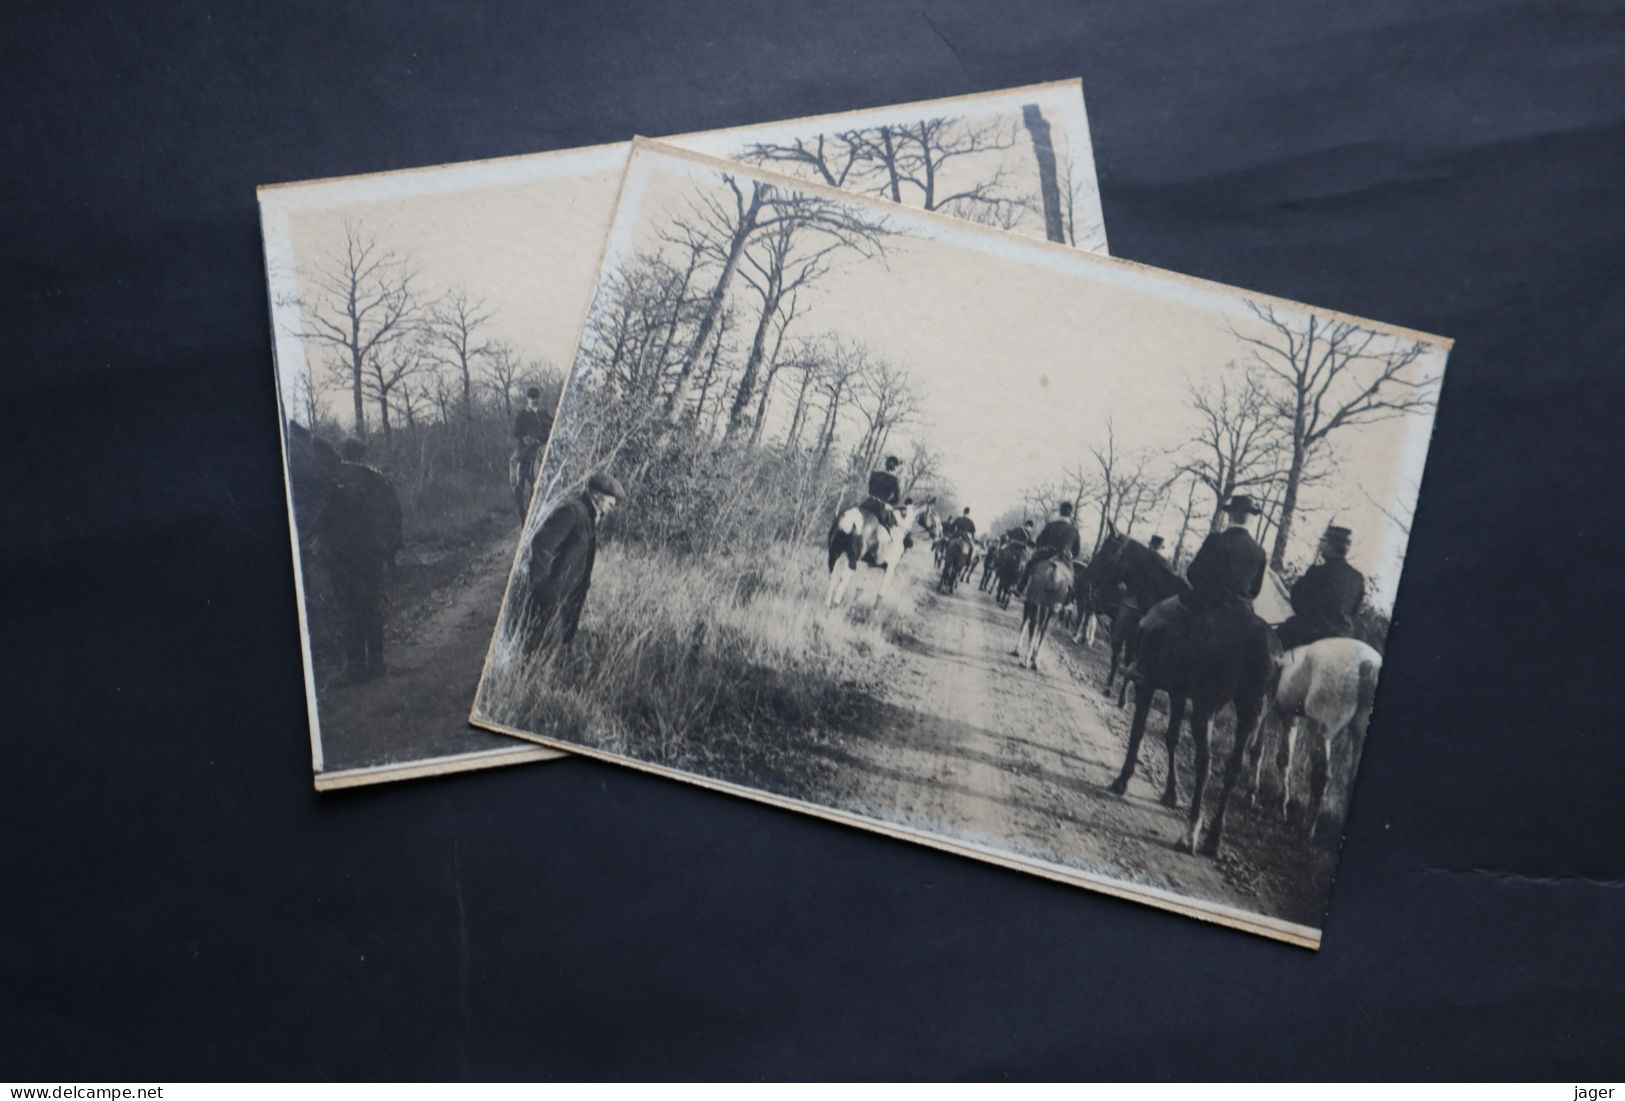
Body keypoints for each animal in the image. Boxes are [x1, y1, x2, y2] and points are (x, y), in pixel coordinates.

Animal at [1248, 633, 1378, 837]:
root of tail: (1368, 662)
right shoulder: (1289, 715)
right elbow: (1284, 758)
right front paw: (1282, 804)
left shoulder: (1265, 703)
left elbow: (1257, 749)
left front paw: (1252, 792)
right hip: (1358, 734)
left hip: (1321, 728)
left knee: (1321, 775)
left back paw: (1307, 828)